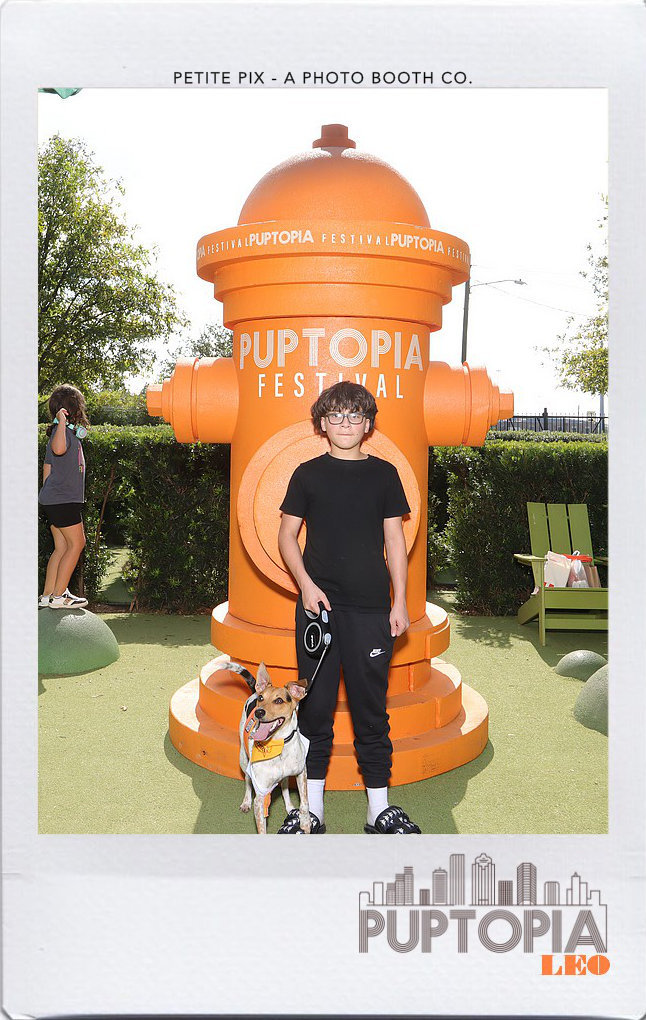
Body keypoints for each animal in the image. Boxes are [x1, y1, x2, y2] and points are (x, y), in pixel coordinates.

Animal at [239, 662, 310, 834]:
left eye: (278, 701)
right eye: (262, 698)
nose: (258, 712)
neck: (278, 744)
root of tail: (253, 691)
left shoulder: (301, 772)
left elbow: (304, 803)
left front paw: (305, 823)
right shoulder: (261, 795)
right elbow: (262, 828)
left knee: (284, 786)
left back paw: (290, 807)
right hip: (243, 760)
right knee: (247, 780)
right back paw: (245, 802)